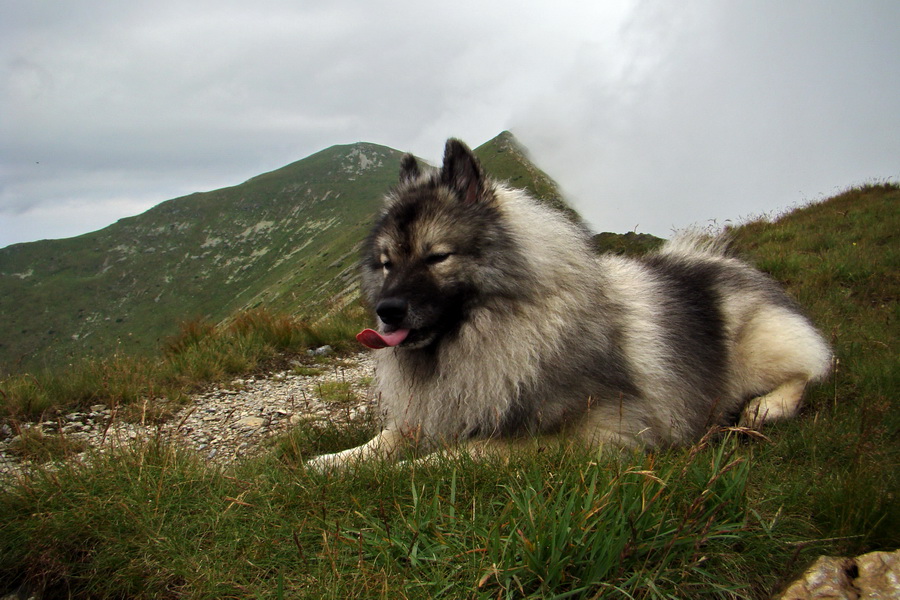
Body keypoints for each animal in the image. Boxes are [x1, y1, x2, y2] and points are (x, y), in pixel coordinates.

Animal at [308, 138, 828, 472]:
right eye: (386, 264)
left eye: (437, 257)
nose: (387, 311)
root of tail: (721, 260)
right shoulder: (438, 408)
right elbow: (385, 438)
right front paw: (332, 461)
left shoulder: (596, 433)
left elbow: (468, 453)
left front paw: (405, 470)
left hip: (760, 346)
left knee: (811, 371)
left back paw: (767, 407)